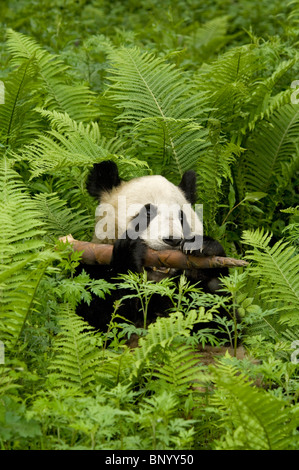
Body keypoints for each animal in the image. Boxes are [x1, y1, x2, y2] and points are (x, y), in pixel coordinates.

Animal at [76, 162, 229, 334]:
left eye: (181, 217)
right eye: (147, 213)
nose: (173, 240)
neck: (156, 284)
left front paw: (204, 247)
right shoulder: (90, 276)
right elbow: (105, 319)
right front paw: (129, 252)